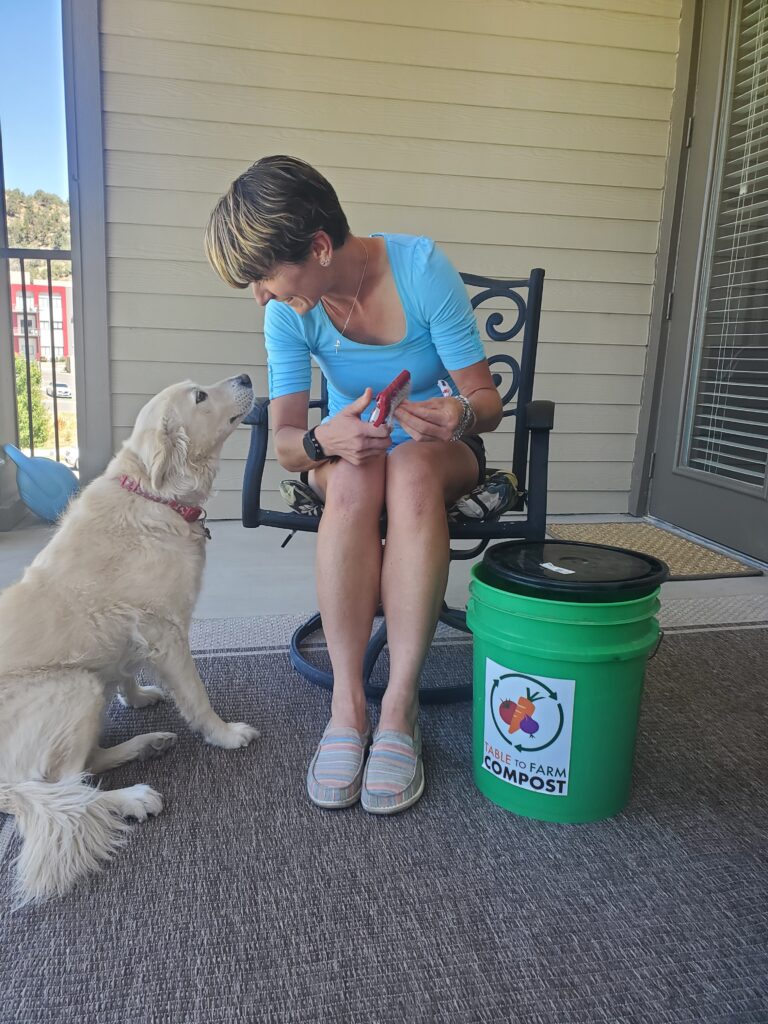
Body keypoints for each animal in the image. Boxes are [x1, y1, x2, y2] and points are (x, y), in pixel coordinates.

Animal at [0, 372, 259, 901]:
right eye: (200, 396)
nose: (245, 376)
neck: (153, 495)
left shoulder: (131, 629)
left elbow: (124, 669)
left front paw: (137, 697)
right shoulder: (167, 630)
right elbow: (197, 699)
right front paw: (224, 735)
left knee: (86, 769)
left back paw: (147, 744)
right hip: (74, 687)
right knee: (66, 788)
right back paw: (134, 797)